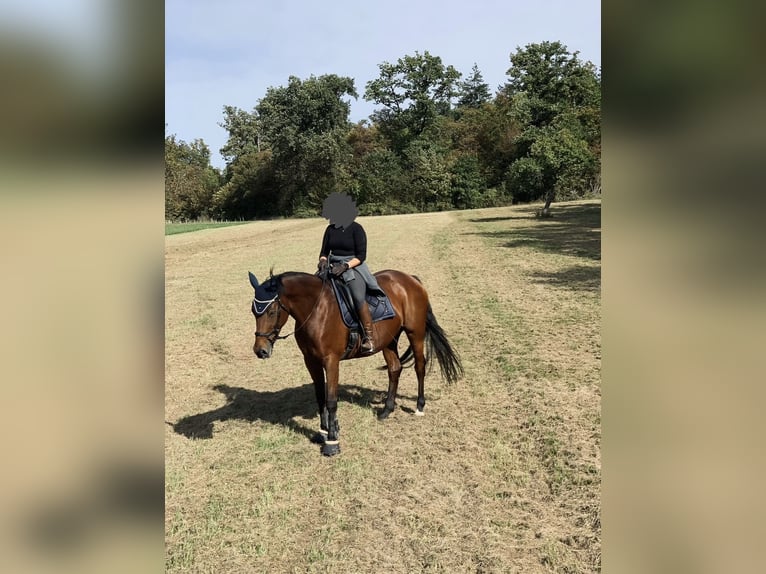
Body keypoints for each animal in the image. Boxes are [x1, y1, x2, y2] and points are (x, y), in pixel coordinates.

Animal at [249, 268, 463, 456]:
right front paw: (323, 432)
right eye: (253, 311)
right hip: (389, 341)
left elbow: (331, 400)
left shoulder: (331, 361)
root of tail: (410, 279)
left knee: (419, 366)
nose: (260, 350)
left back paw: (419, 406)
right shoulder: (311, 361)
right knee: (394, 368)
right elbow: (320, 397)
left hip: (415, 333)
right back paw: (387, 410)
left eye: (271, 311)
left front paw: (332, 442)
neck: (316, 310)